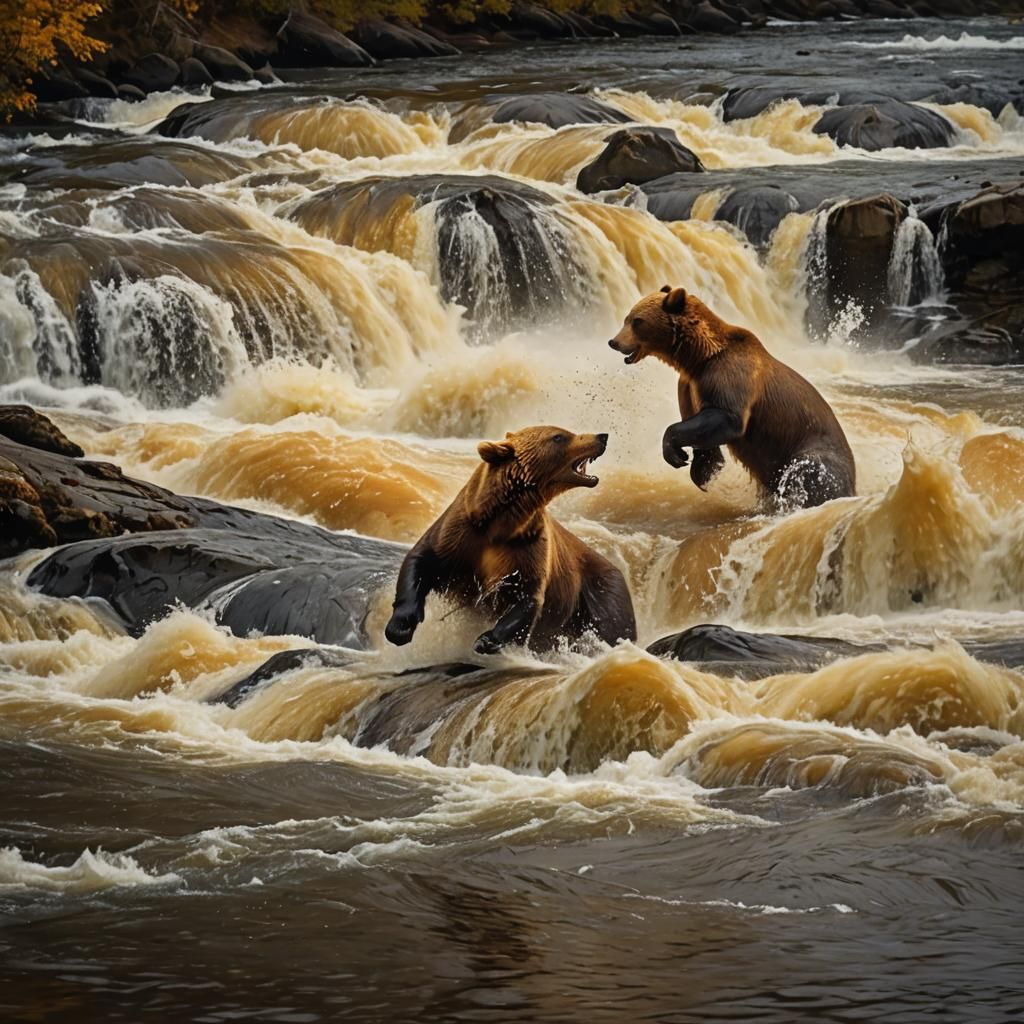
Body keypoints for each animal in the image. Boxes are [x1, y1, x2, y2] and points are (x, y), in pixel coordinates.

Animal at [385, 425, 637, 655]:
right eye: (559, 436)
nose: (602, 436)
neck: (500, 522)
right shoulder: (459, 533)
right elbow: (421, 560)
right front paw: (400, 627)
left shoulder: (528, 546)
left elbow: (527, 595)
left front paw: (487, 639)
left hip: (600, 595)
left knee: (613, 627)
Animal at [608, 286, 856, 509]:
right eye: (627, 318)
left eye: (637, 321)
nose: (614, 342)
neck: (698, 358)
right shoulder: (689, 386)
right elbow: (699, 426)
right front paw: (703, 470)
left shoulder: (730, 374)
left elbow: (727, 417)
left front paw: (675, 453)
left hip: (813, 452)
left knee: (809, 474)